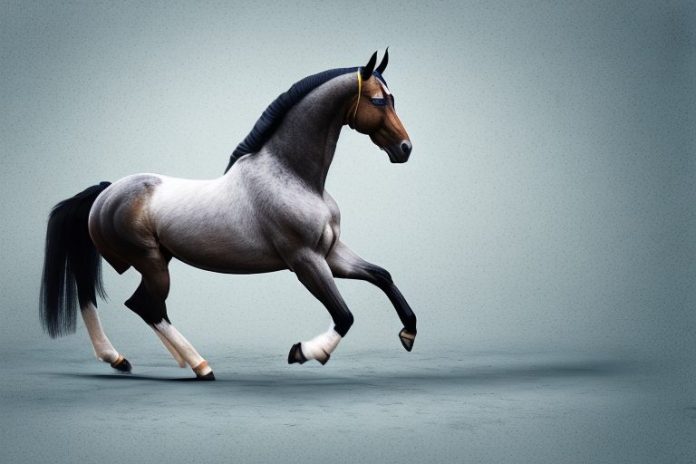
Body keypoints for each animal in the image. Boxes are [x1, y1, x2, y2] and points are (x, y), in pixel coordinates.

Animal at [40, 50, 417, 380]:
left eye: (393, 98)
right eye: (378, 100)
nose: (405, 149)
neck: (293, 176)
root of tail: (105, 192)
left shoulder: (331, 254)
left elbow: (382, 276)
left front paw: (408, 333)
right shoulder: (305, 260)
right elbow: (344, 315)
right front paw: (305, 352)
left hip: (156, 260)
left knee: (118, 300)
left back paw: (130, 360)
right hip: (151, 262)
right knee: (146, 306)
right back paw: (198, 366)